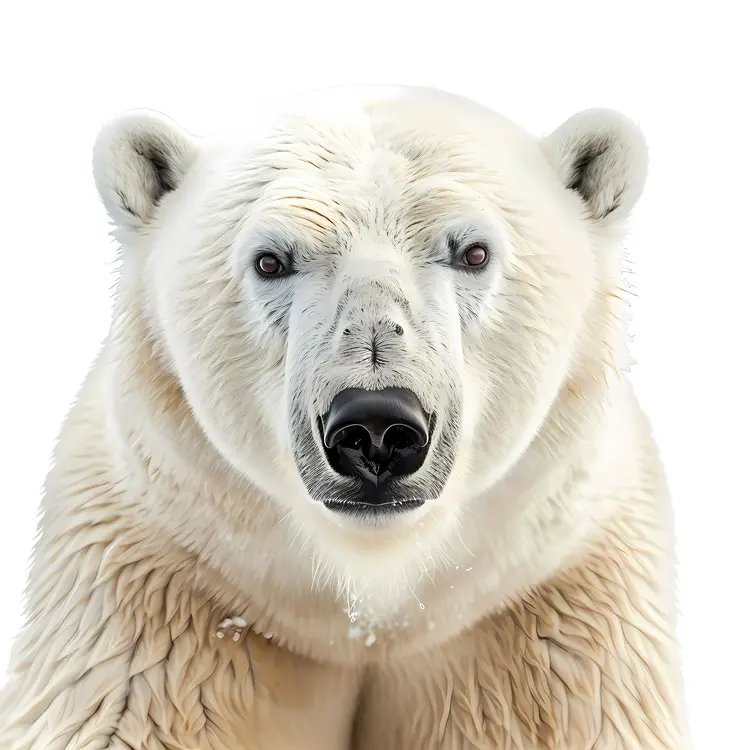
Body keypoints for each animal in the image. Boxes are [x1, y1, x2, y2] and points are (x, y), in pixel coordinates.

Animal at [0, 85, 687, 749]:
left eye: (473, 252)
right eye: (271, 260)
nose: (377, 427)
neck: (367, 602)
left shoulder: (546, 604)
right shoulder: (157, 593)